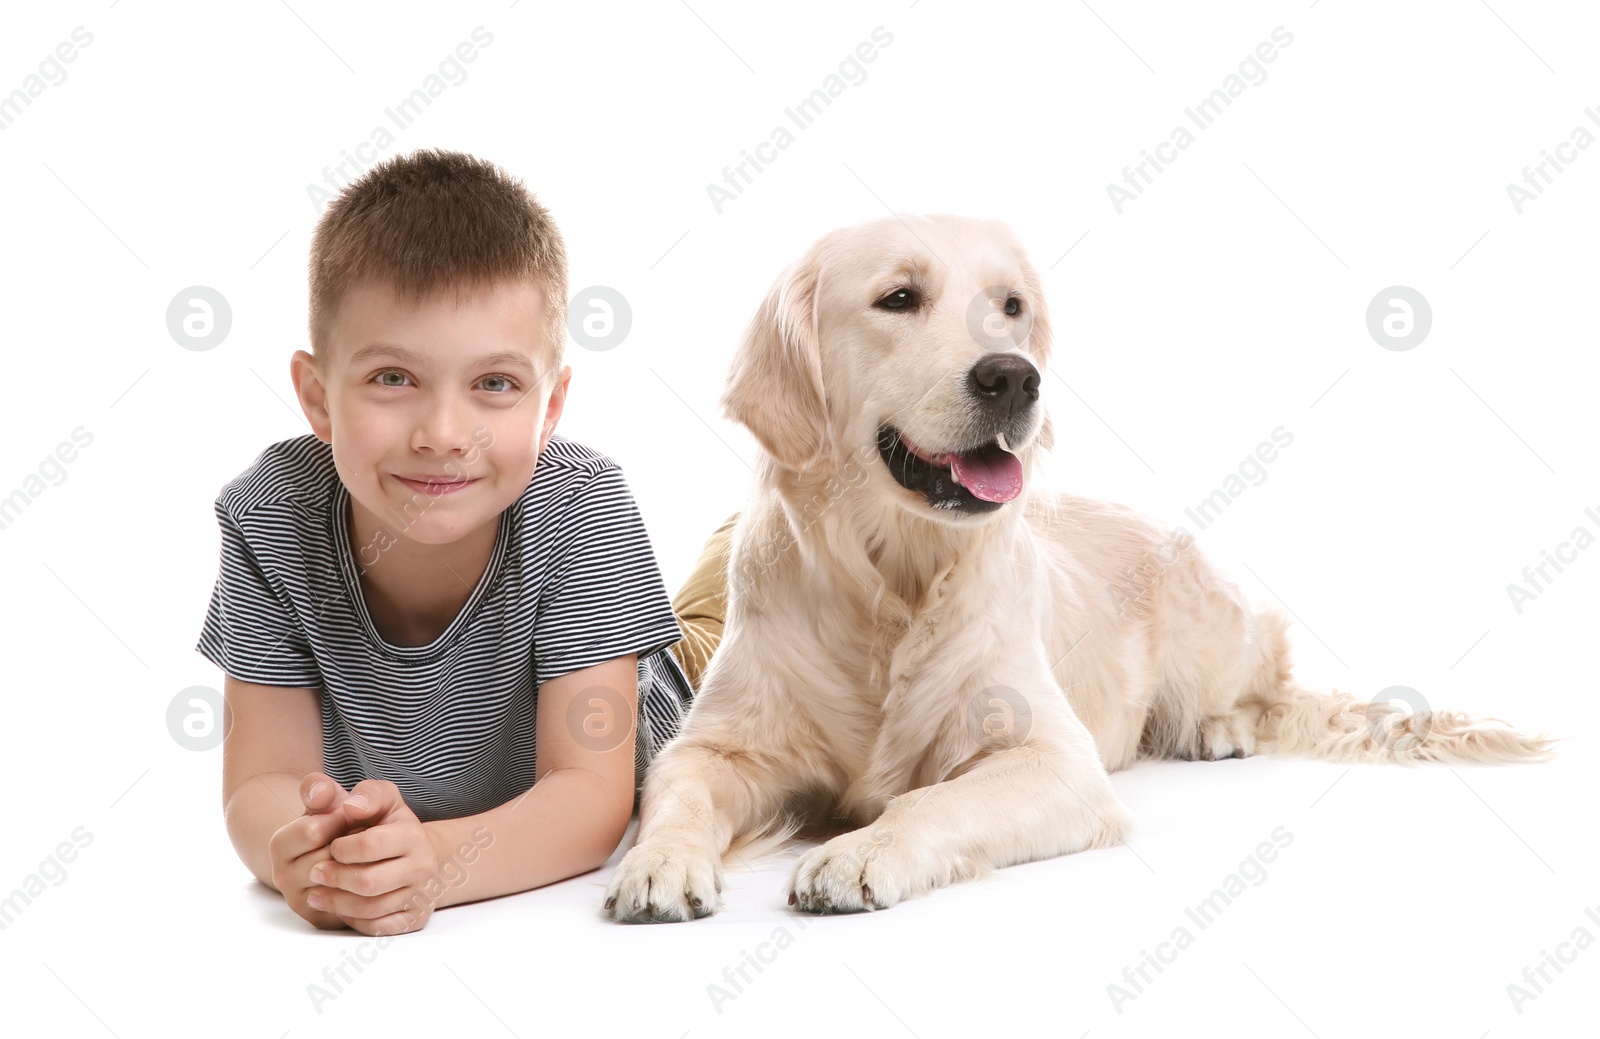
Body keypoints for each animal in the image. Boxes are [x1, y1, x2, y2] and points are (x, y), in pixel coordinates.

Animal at [601, 214, 1548, 922]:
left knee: (1268, 689)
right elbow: (675, 795)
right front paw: (659, 864)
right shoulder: (714, 744)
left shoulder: (1057, 759)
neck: (895, 581)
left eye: (1010, 307)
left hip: (1219, 636)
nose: (1014, 377)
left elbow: (930, 797)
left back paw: (1218, 729)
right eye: (898, 298)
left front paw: (859, 851)